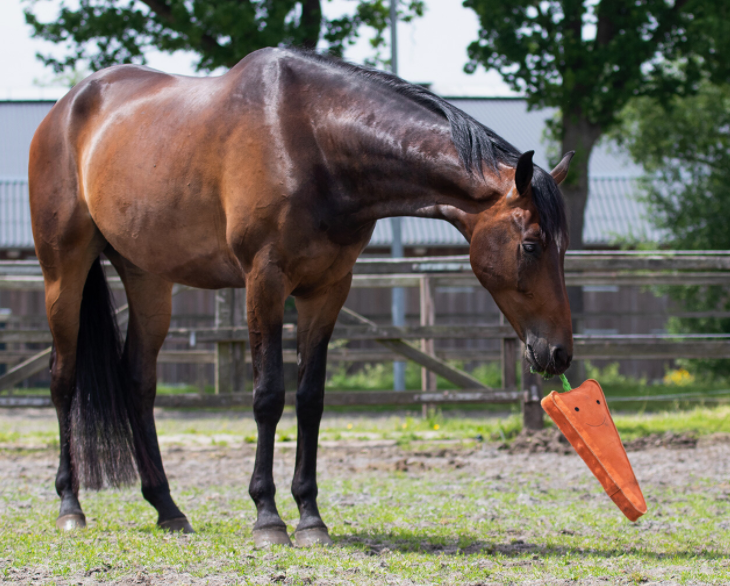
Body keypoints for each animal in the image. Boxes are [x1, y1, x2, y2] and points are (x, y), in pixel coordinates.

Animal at [28, 48, 572, 544]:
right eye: (531, 244)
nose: (559, 353)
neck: (313, 140)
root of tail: (66, 108)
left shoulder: (326, 289)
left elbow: (310, 400)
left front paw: (310, 516)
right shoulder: (264, 282)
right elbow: (269, 396)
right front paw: (268, 516)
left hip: (147, 279)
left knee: (138, 382)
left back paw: (167, 508)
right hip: (63, 273)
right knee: (62, 379)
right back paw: (70, 506)